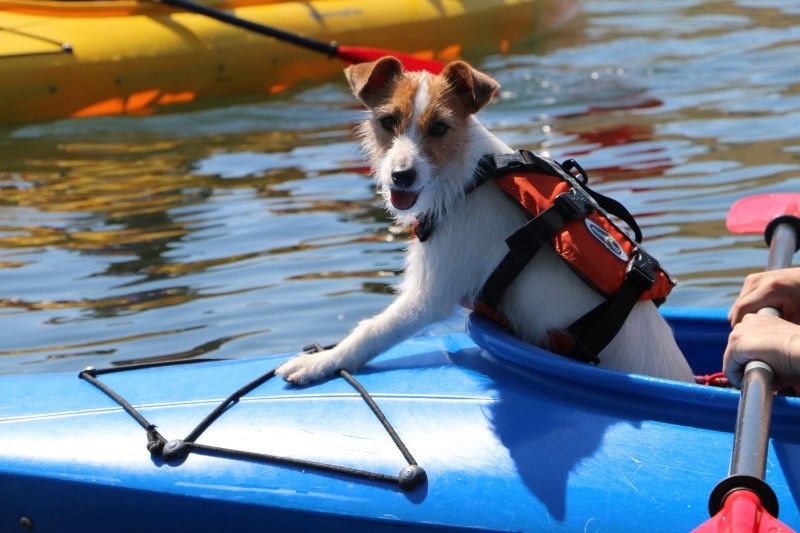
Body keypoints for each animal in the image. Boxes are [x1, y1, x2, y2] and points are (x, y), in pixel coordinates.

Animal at [276, 57, 692, 382]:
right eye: (388, 121)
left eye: (439, 128)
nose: (401, 176)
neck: (469, 178)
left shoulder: (428, 295)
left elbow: (372, 330)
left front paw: (322, 361)